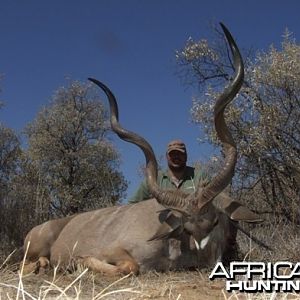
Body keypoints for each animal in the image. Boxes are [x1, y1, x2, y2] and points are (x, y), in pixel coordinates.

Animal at [22, 24, 262, 276]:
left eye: (216, 221)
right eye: (187, 228)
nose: (210, 261)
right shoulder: (116, 252)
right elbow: (129, 267)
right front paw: (78, 261)